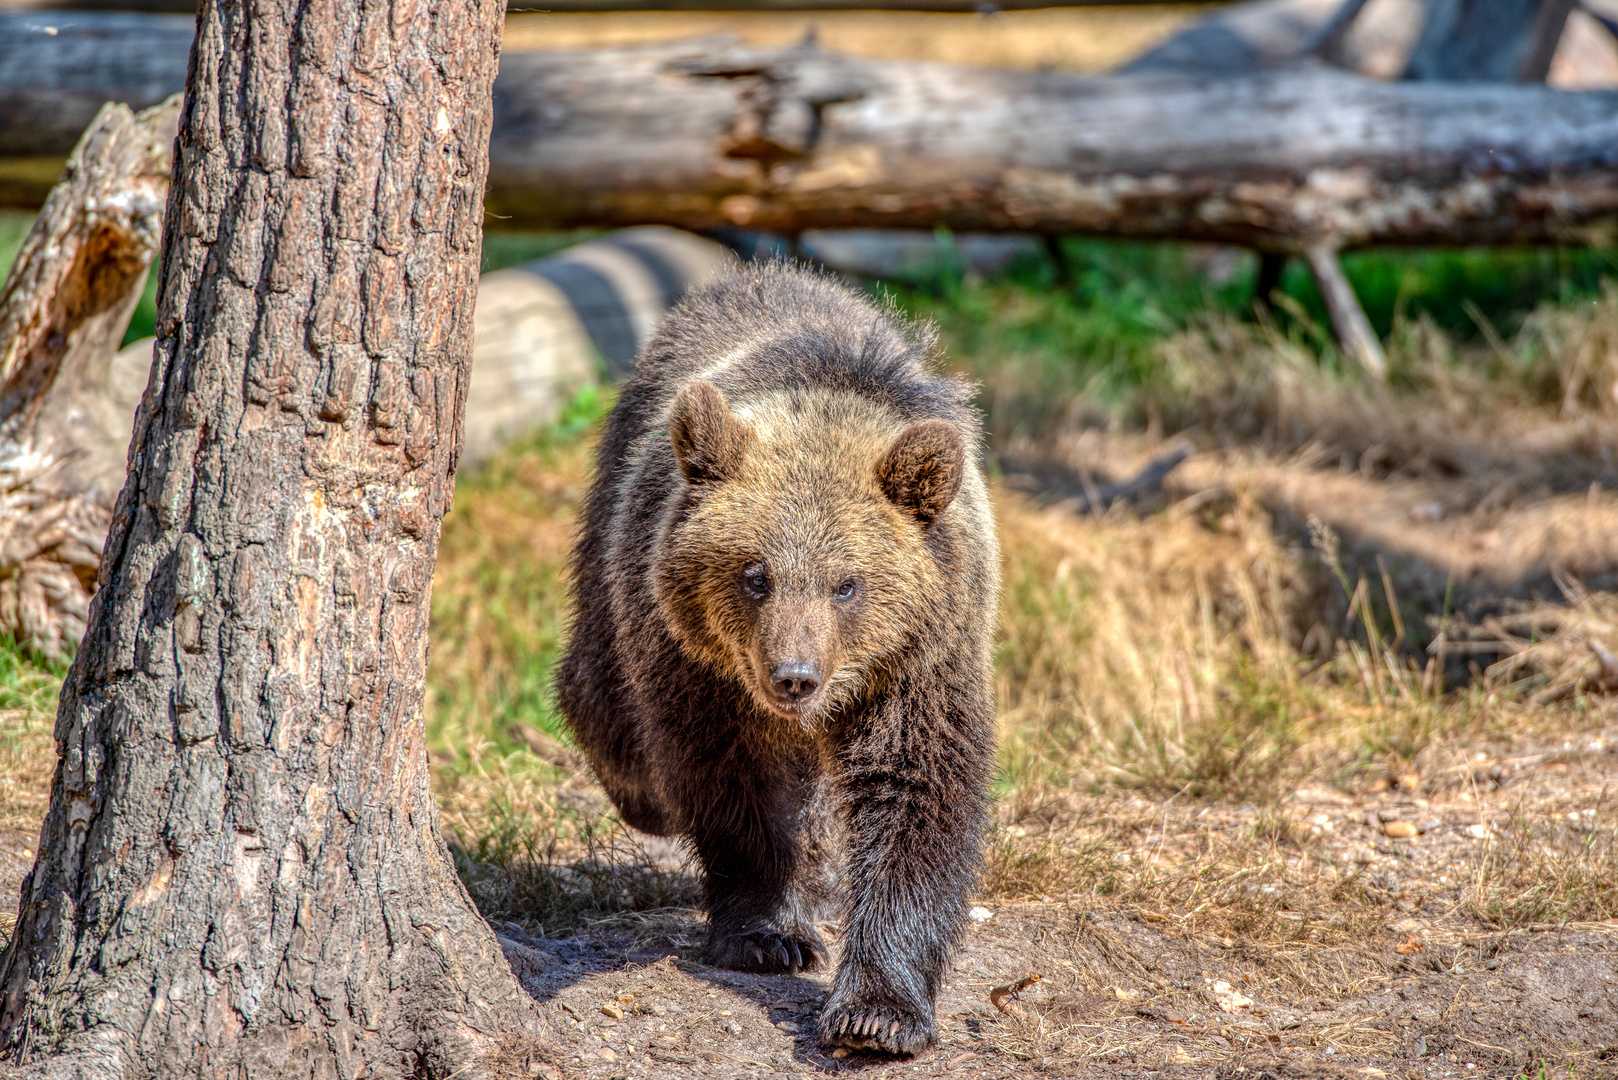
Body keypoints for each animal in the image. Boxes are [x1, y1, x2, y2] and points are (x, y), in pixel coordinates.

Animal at [563, 262, 1003, 1055]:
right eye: (755, 573)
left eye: (846, 583)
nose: (793, 678)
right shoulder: (700, 669)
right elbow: (735, 780)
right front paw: (769, 933)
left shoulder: (921, 660)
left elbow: (917, 792)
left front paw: (876, 1011)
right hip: (619, 547)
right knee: (604, 697)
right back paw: (642, 793)